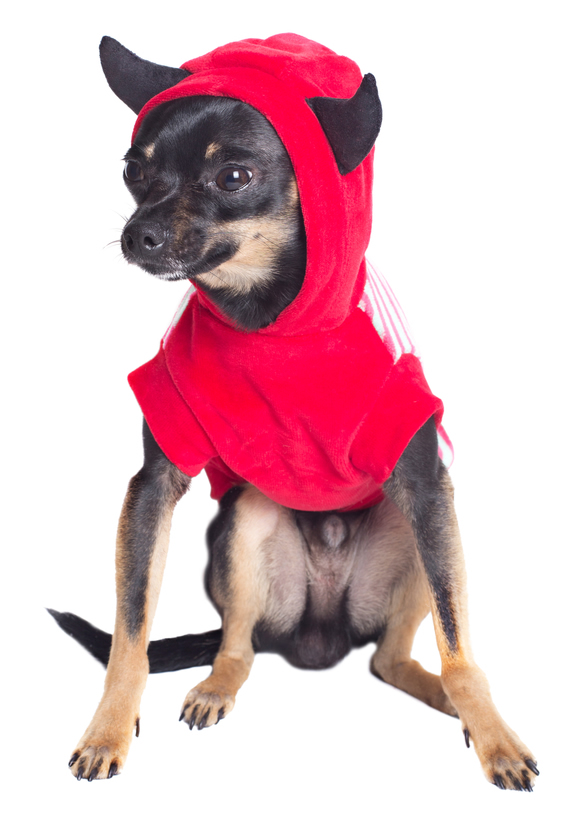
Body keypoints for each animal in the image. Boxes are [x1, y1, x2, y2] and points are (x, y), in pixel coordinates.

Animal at [50, 33, 536, 788]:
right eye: (134, 170)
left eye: (234, 176)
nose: (137, 235)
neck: (267, 322)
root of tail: (319, 639)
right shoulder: (153, 484)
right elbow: (131, 632)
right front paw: (107, 730)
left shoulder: (428, 488)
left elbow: (460, 644)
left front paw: (495, 736)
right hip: (249, 522)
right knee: (239, 648)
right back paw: (215, 687)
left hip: (416, 531)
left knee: (391, 658)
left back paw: (442, 698)